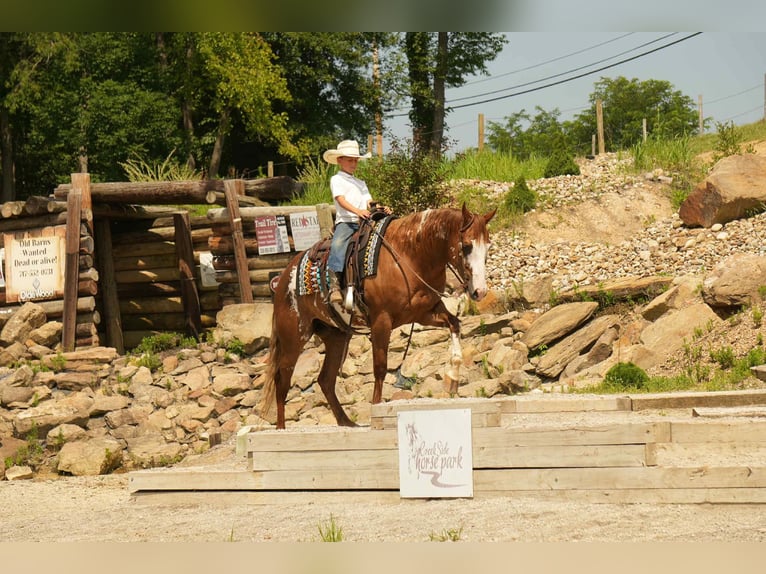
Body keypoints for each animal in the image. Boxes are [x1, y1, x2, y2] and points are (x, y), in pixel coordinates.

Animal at [260, 203, 496, 429]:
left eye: (487, 247)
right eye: (466, 246)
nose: (480, 291)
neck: (409, 255)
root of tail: (283, 277)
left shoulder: (425, 313)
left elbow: (455, 324)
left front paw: (453, 378)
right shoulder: (381, 321)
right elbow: (380, 367)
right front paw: (377, 408)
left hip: (336, 337)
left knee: (325, 380)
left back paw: (346, 422)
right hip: (294, 338)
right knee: (282, 380)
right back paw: (281, 428)